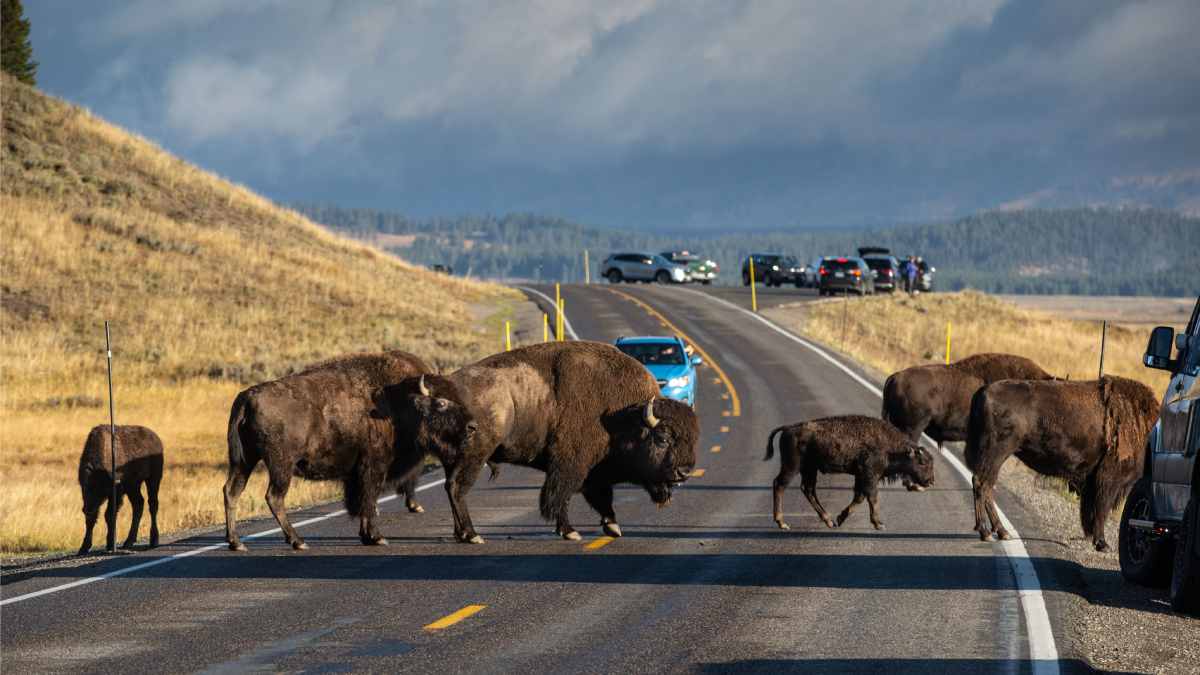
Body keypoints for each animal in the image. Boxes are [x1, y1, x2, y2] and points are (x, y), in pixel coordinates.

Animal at [78, 425, 164, 554]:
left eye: (99, 488)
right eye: (84, 487)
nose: (87, 509)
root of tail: (156, 438)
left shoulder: (116, 493)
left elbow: (109, 515)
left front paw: (110, 544)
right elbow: (91, 520)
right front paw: (83, 548)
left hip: (153, 479)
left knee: (152, 505)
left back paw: (154, 540)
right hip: (133, 486)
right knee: (138, 504)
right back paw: (128, 541)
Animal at [223, 351, 476, 551]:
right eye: (441, 403)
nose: (472, 427)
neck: (397, 400)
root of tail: (247, 397)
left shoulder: (360, 472)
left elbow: (364, 499)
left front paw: (367, 536)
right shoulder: (373, 466)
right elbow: (369, 498)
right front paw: (377, 537)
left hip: (244, 460)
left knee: (231, 491)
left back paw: (236, 543)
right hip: (280, 465)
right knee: (274, 497)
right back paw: (298, 541)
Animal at [407, 341, 699, 543]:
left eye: (693, 439)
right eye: (662, 438)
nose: (684, 472)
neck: (622, 415)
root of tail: (445, 387)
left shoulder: (595, 472)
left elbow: (600, 498)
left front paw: (612, 527)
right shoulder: (570, 464)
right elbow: (560, 496)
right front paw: (570, 531)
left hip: (454, 459)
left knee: (450, 488)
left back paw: (461, 534)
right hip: (474, 456)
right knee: (458, 488)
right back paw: (472, 535)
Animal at [765, 415, 935, 531]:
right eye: (922, 462)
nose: (931, 481)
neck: (892, 448)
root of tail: (788, 428)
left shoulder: (861, 477)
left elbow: (859, 498)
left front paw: (840, 518)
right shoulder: (869, 476)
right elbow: (872, 498)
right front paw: (879, 524)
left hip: (810, 469)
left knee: (808, 490)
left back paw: (829, 520)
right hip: (792, 467)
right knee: (780, 485)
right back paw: (782, 523)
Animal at [965, 375, 1159, 550]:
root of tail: (983, 392)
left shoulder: (1093, 480)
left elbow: (1089, 509)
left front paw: (1090, 536)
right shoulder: (1109, 480)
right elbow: (1101, 509)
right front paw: (1102, 543)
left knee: (984, 485)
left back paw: (999, 531)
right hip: (997, 453)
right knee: (983, 484)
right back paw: (988, 532)